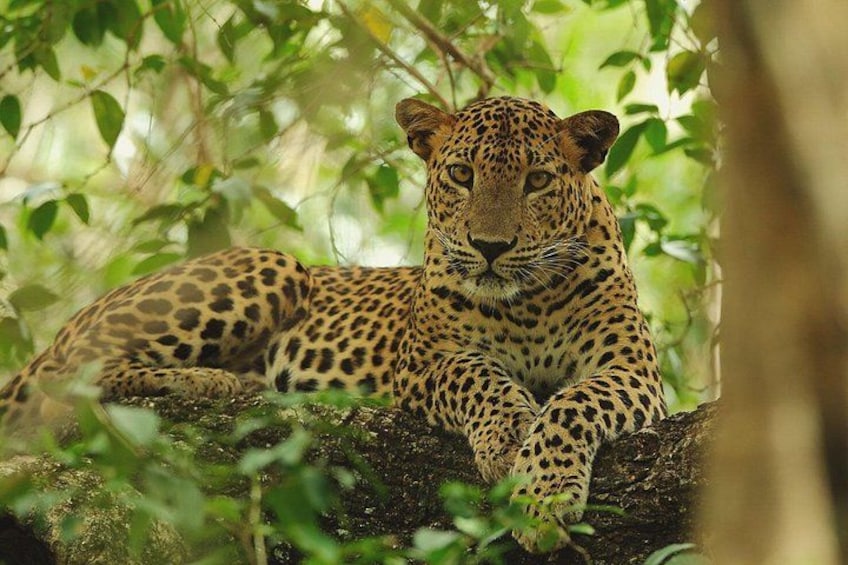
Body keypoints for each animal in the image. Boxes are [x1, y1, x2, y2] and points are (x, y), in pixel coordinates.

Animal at [0, 96, 667, 552]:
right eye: (461, 175)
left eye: (538, 181)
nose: (490, 247)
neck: (526, 301)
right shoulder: (426, 362)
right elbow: (480, 377)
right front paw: (507, 441)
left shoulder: (632, 369)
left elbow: (573, 404)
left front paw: (544, 492)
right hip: (275, 266)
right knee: (68, 377)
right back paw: (208, 381)